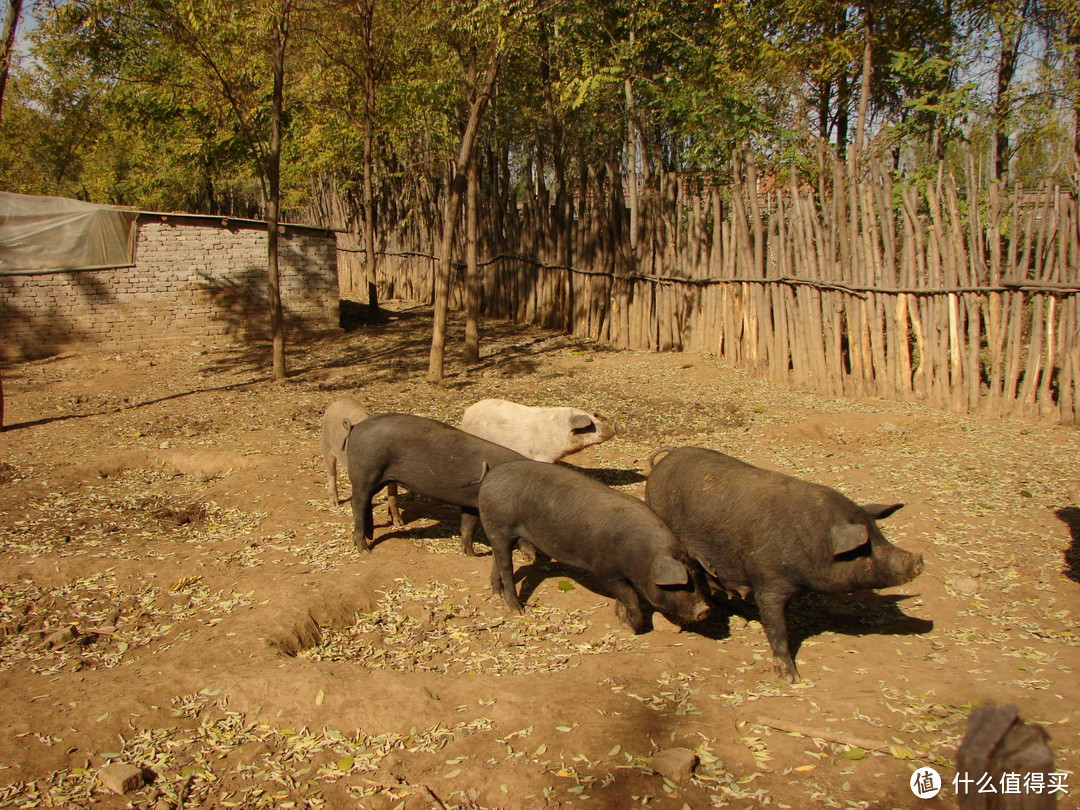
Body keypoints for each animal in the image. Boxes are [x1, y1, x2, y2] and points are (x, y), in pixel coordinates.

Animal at [345, 414, 527, 557]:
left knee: (366, 503)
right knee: (358, 504)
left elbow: (468, 526)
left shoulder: (471, 502)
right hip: (365, 473)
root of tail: (355, 427)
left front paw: (470, 555)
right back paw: (365, 550)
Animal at [477, 460, 712, 630]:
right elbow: (630, 597)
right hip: (498, 525)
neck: (642, 557)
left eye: (697, 578)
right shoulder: (606, 571)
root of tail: (490, 475)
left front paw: (622, 620)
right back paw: (517, 610)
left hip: (499, 531)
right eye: (681, 585)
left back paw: (496, 593)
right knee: (506, 566)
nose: (705, 610)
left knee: (497, 559)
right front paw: (631, 627)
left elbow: (623, 598)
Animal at [643, 447, 924, 682]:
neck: (814, 541)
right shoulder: (768, 581)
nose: (918, 559)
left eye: (880, 535)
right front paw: (791, 678)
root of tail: (664, 461)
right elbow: (776, 625)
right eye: (864, 548)